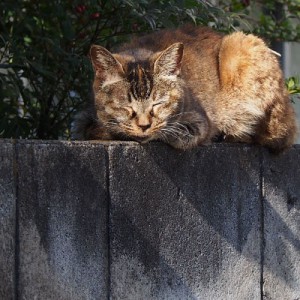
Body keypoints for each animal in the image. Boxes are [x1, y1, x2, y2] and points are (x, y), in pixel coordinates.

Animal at [73, 24, 298, 152]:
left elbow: (175, 131)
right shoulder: (82, 119)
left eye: (159, 104)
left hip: (242, 44)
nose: (144, 125)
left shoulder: (200, 121)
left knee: (275, 137)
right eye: (126, 106)